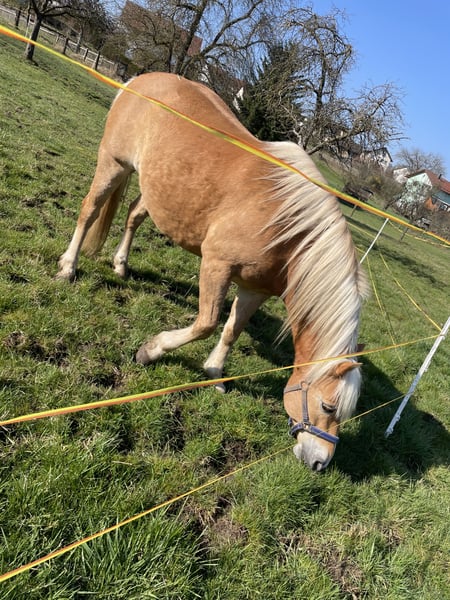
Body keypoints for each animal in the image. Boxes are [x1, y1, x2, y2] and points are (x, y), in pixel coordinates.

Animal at [57, 72, 369, 471]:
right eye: (328, 406)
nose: (319, 463)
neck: (287, 227)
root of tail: (141, 79)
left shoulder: (255, 289)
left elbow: (231, 331)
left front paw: (215, 374)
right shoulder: (217, 266)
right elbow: (206, 323)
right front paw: (151, 351)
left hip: (155, 189)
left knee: (133, 215)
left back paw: (121, 264)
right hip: (113, 164)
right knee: (90, 210)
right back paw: (68, 267)